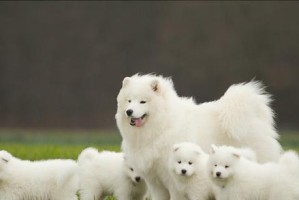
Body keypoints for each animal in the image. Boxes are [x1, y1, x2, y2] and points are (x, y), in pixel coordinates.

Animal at [116, 74, 284, 200]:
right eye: (129, 100)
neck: (162, 125)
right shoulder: (155, 180)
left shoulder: (173, 179)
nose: (129, 111)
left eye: (143, 101)